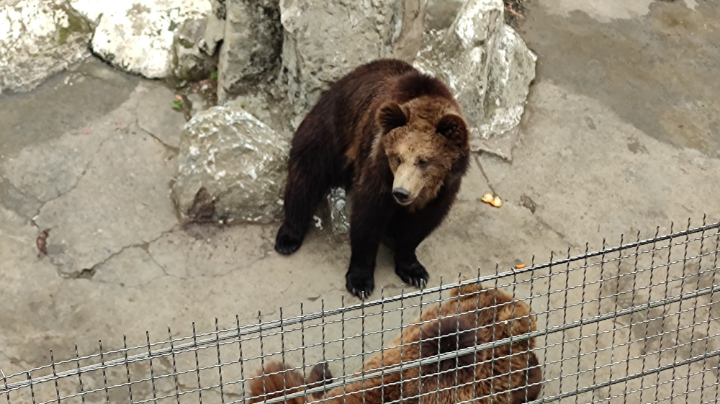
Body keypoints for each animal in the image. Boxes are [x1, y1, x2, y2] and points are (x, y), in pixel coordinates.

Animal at [272, 58, 470, 296]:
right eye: (397, 157)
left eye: (423, 161)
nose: (401, 193)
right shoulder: (377, 170)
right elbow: (367, 218)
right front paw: (360, 281)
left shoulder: (444, 188)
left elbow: (419, 226)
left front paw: (414, 270)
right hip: (332, 129)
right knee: (307, 174)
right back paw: (288, 236)